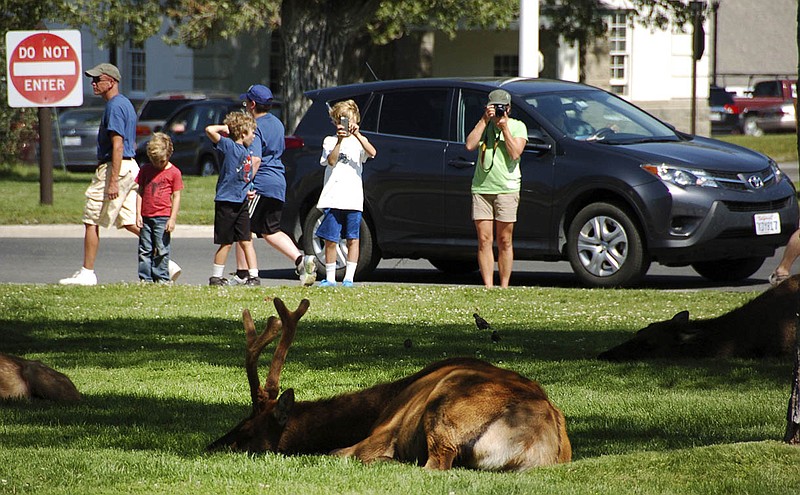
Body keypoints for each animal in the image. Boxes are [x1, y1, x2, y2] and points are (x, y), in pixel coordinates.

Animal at [206, 298, 568, 472]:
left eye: (246, 431)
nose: (210, 448)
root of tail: (532, 443)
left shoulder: (383, 432)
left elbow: (339, 451)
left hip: (444, 411)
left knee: (434, 465)